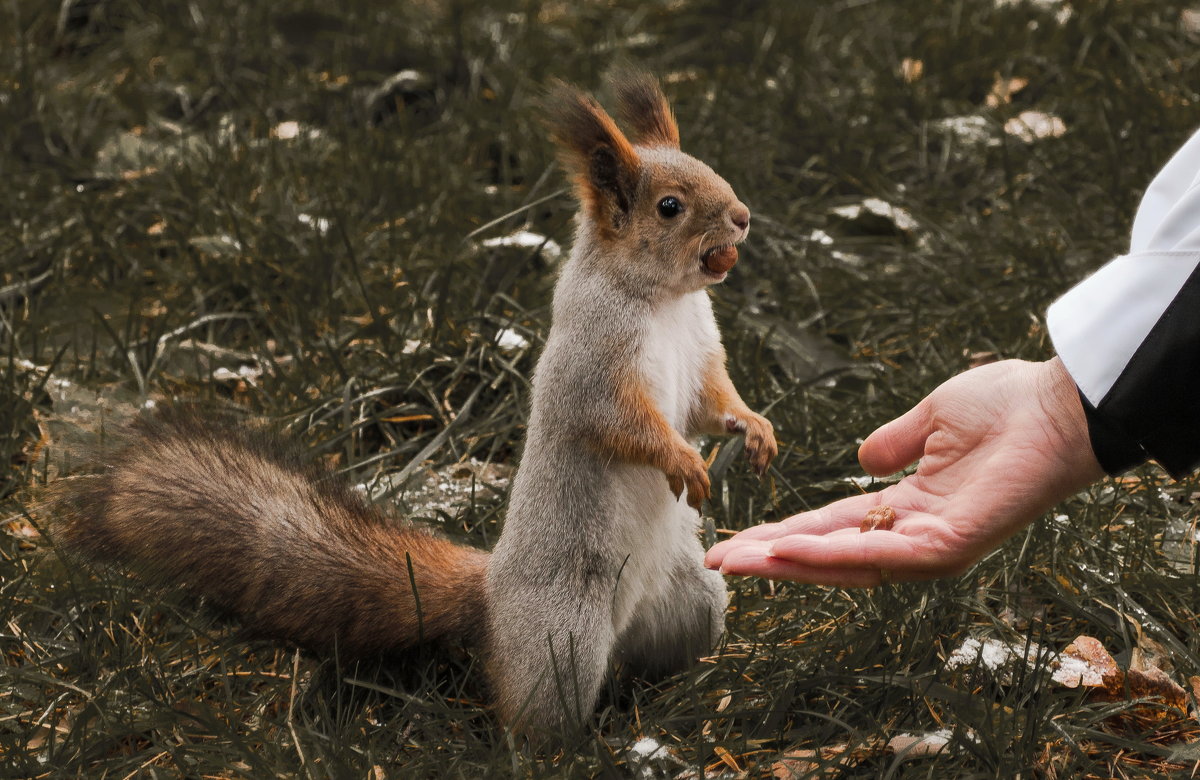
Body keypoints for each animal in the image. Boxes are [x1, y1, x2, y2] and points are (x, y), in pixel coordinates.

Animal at [49, 71, 777, 734]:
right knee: (536, 715)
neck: (662, 300)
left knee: (659, 656)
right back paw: (568, 747)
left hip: (693, 599)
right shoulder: (594, 362)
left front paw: (756, 428)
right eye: (670, 207)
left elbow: (711, 401)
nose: (743, 216)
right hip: (563, 637)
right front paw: (681, 460)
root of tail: (490, 597)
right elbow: (620, 422)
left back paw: (689, 691)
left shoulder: (700, 349)